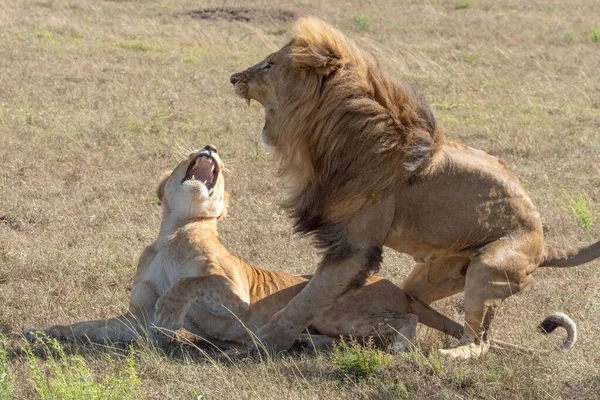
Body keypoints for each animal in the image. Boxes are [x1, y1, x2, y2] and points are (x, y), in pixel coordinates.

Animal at [227, 17, 596, 358]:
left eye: (269, 64)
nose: (233, 78)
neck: (322, 136)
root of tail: (544, 245)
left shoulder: (356, 248)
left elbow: (302, 303)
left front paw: (257, 344)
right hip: (429, 277)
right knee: (419, 306)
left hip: (488, 271)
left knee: (479, 341)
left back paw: (445, 355)